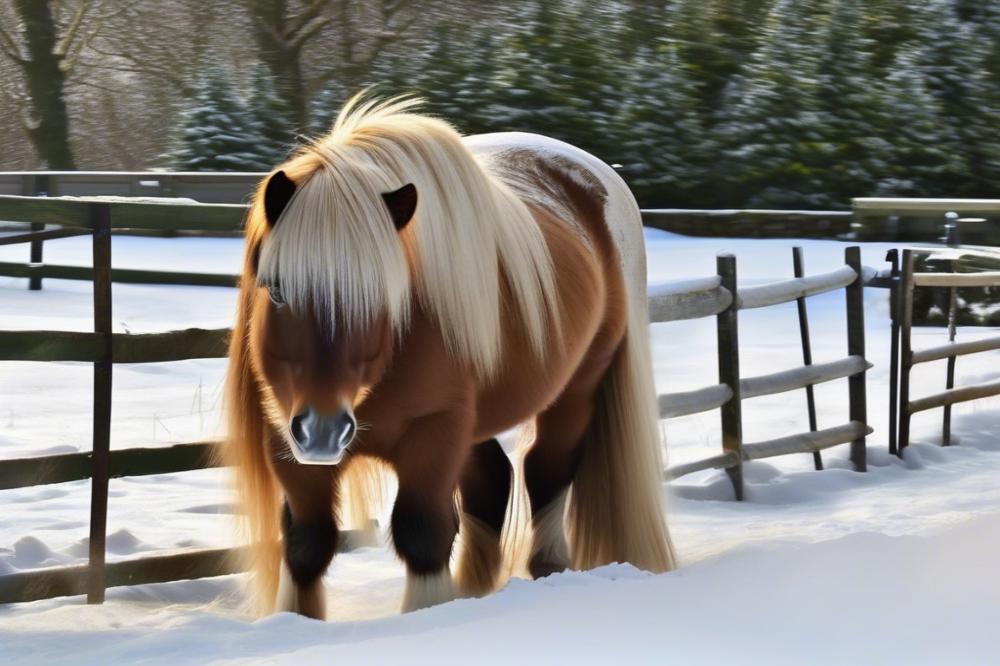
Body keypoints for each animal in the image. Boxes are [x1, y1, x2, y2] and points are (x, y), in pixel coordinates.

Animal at [225, 93, 680, 616]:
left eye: (383, 295)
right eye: (277, 290)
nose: (323, 431)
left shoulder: (435, 432)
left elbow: (423, 533)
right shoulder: (287, 441)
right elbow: (307, 543)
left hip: (576, 390)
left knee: (545, 471)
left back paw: (548, 567)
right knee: (492, 484)